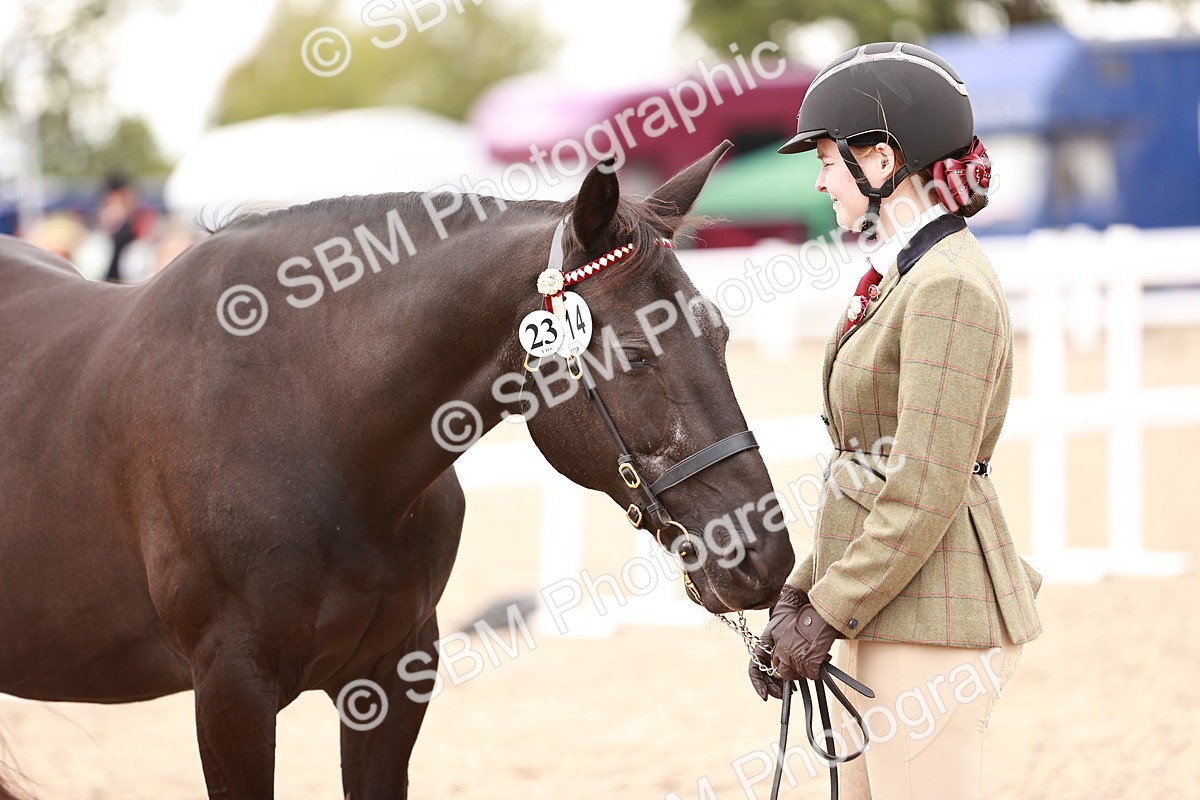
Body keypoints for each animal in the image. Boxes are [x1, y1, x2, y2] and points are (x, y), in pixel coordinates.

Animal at [0, 141, 795, 799]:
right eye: (634, 352)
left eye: (721, 335)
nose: (764, 555)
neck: (306, 416)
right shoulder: (230, 692)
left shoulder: (392, 678)